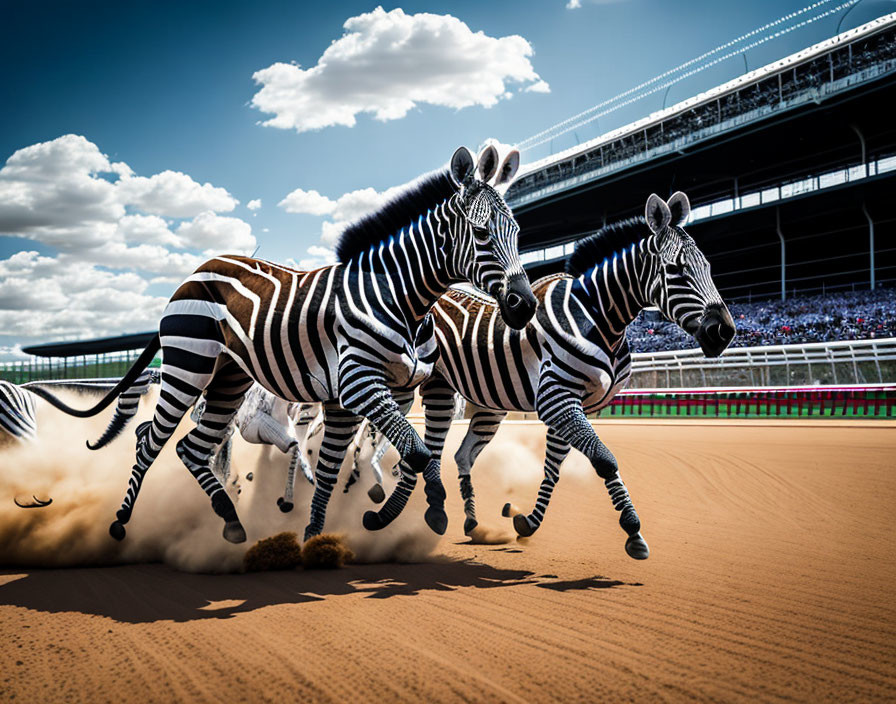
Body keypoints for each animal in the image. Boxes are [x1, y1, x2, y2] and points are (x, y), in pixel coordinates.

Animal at [28, 146, 536, 544]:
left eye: (518, 232)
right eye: (482, 234)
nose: (524, 306)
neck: (402, 298)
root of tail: (198, 270)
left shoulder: (382, 393)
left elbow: (349, 461)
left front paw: (321, 532)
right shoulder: (357, 385)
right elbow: (413, 450)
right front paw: (428, 509)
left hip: (229, 380)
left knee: (191, 447)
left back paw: (231, 521)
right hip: (188, 367)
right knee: (149, 440)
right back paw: (121, 523)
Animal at [364, 192, 736, 560]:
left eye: (708, 266)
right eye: (676, 270)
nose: (725, 332)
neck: (600, 320)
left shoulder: (573, 403)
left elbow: (554, 466)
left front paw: (527, 522)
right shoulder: (557, 397)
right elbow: (604, 459)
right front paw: (633, 530)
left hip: (489, 402)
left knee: (461, 453)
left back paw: (471, 523)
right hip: (433, 386)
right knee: (422, 447)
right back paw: (395, 508)